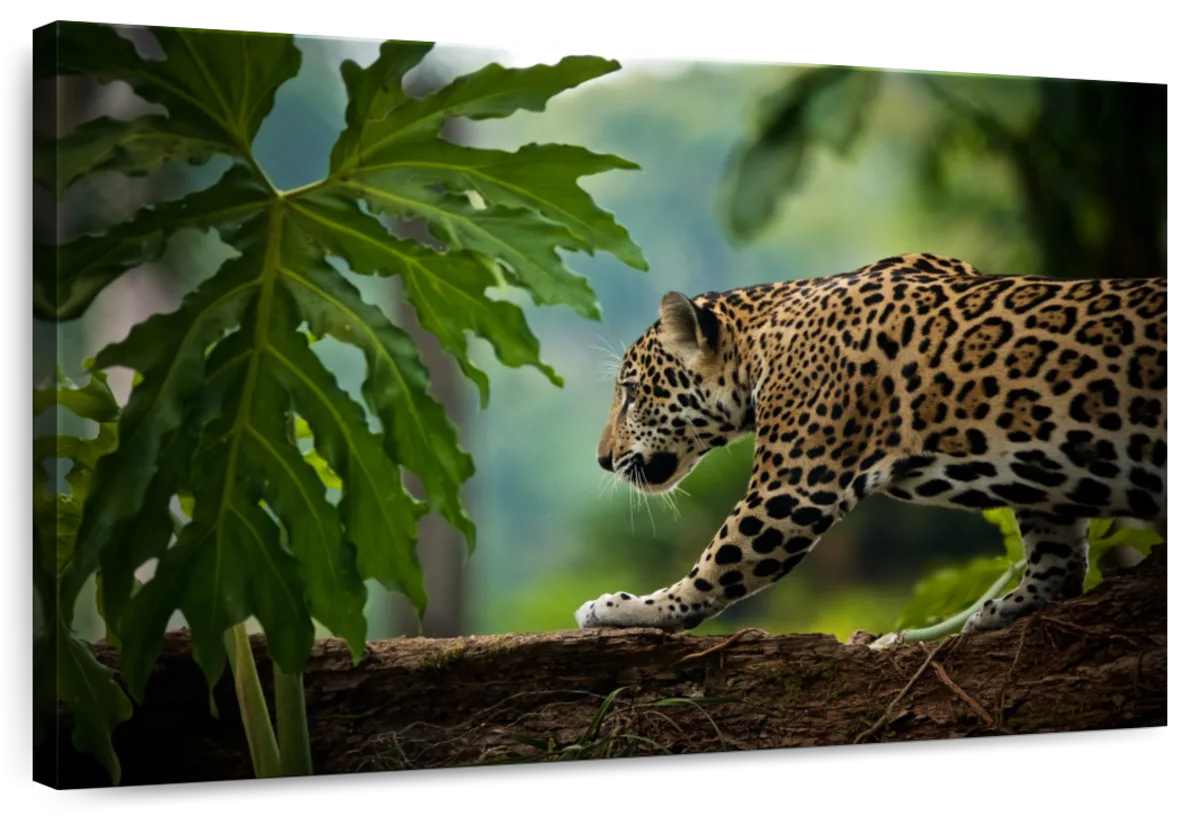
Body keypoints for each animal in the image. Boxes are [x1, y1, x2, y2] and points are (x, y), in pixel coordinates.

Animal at [575, 253, 1168, 635]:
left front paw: (628, 608)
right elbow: (1057, 555)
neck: (763, 342)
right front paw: (1009, 607)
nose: (601, 460)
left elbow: (716, 568)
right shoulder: (1044, 486)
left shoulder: (791, 490)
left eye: (632, 393)